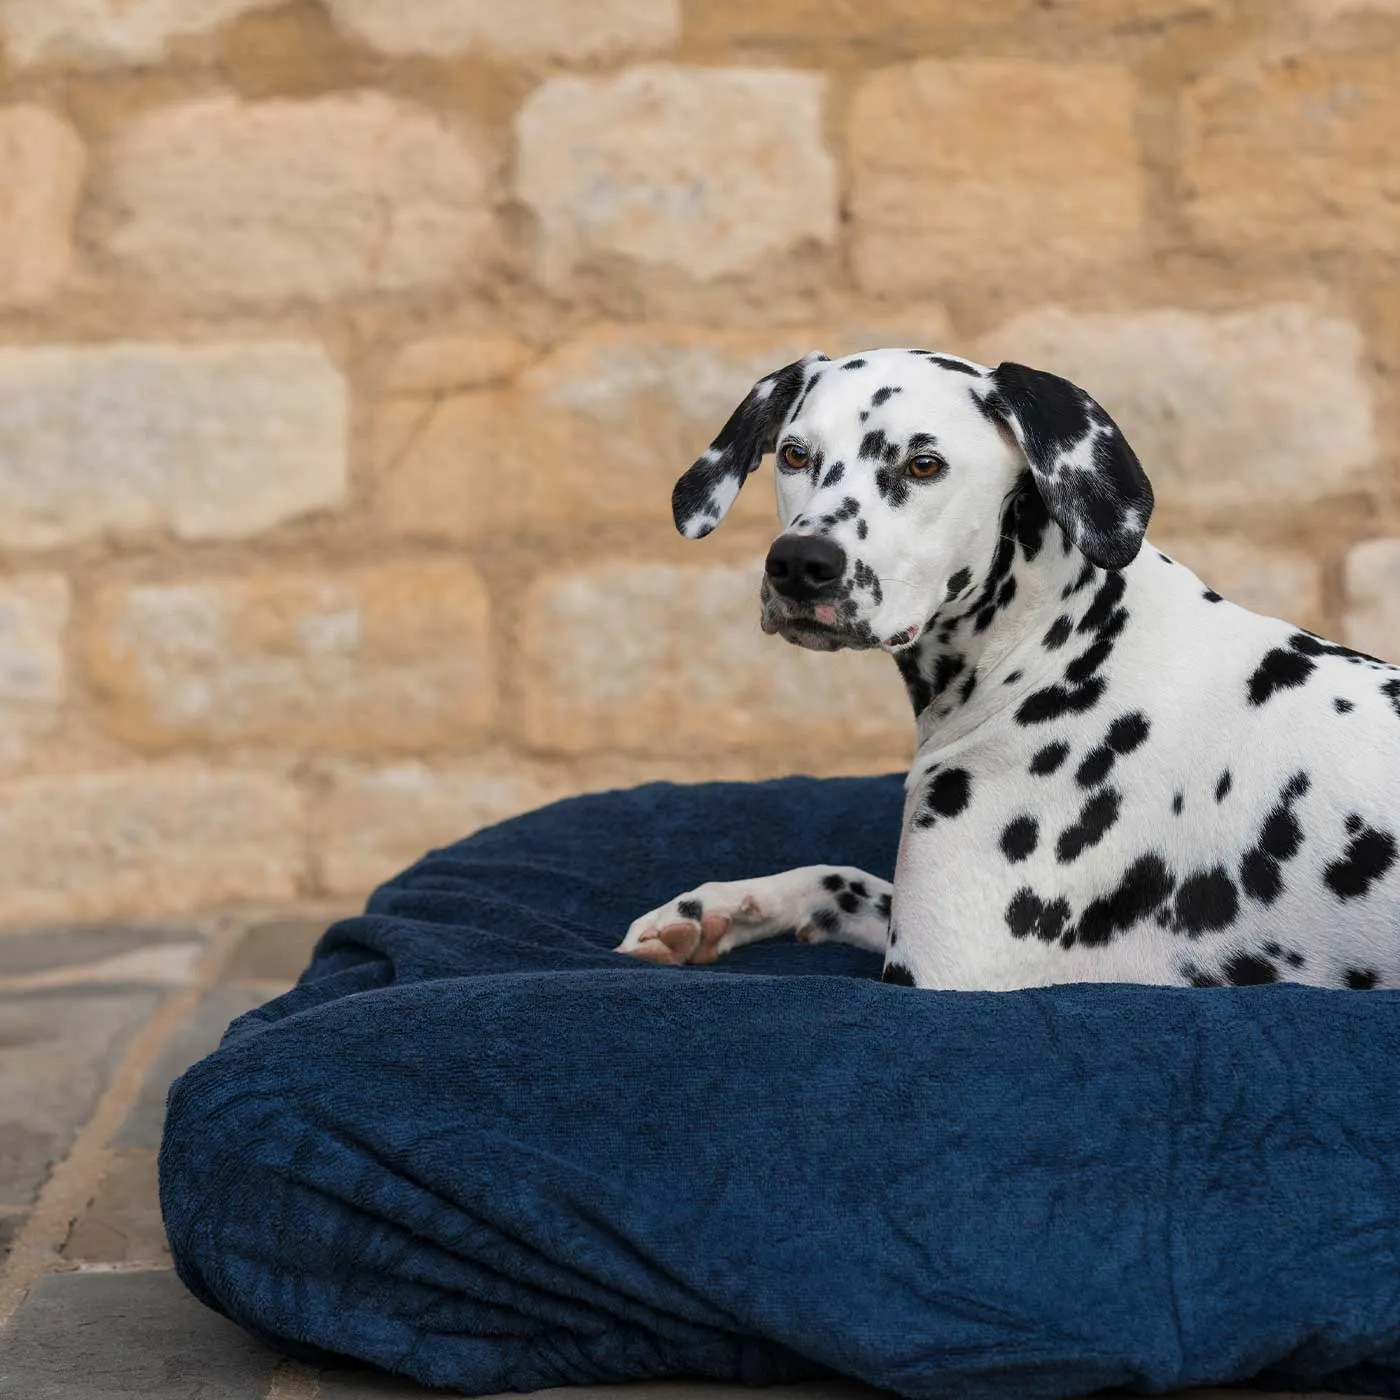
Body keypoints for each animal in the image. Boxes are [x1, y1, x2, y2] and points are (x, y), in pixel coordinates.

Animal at [613, 344, 1400, 991]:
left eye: (923, 464)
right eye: (795, 455)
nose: (800, 565)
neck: (1054, 652)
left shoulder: (942, 971)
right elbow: (834, 876)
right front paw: (711, 910)